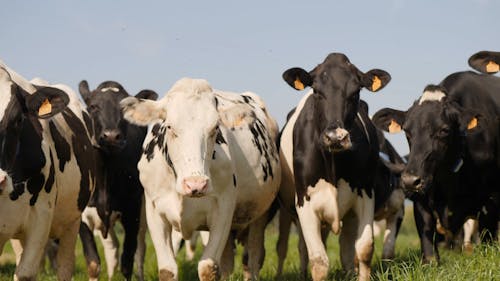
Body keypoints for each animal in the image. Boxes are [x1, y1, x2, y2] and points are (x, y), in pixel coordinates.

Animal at [77, 80, 158, 278]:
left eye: (125, 109)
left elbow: (127, 261)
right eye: (93, 106)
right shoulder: (82, 216)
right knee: (112, 248)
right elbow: (93, 263)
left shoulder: (132, 213)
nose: (111, 136)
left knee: (140, 250)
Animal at [120, 77, 282, 280]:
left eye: (215, 128)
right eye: (169, 126)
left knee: (251, 258)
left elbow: (208, 267)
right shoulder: (154, 211)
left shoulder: (223, 211)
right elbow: (167, 270)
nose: (195, 184)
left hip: (260, 214)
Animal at [280, 52, 392, 280]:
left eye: (356, 92)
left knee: (347, 246)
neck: (333, 165)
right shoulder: (304, 203)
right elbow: (318, 261)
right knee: (304, 249)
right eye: (316, 90)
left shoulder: (366, 195)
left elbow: (365, 249)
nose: (335, 137)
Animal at [374, 57, 498, 260]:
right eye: (407, 131)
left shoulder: (491, 201)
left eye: (444, 130)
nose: (410, 180)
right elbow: (429, 251)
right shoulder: (421, 200)